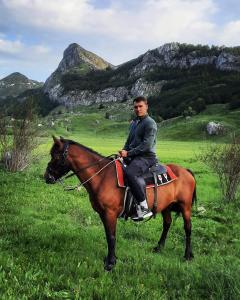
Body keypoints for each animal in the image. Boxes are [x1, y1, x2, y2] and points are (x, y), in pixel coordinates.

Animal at [44, 137, 196, 270]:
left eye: (55, 156)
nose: (47, 177)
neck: (102, 176)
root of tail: (186, 171)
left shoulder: (110, 213)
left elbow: (111, 237)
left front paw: (110, 263)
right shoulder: (103, 214)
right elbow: (108, 236)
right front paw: (111, 259)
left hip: (185, 207)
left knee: (188, 228)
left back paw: (188, 255)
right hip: (166, 207)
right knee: (167, 224)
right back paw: (159, 247)